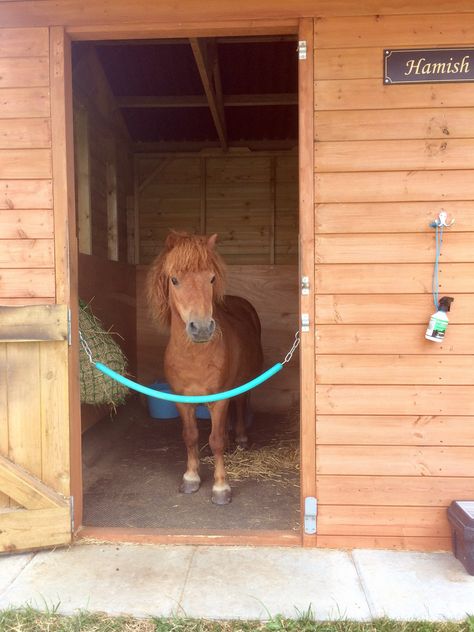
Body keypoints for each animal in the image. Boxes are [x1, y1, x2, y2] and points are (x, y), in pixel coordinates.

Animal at [146, 231, 262, 504]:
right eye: (174, 280)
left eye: (211, 278)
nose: (201, 328)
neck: (194, 355)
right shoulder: (182, 400)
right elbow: (190, 436)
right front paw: (191, 478)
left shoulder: (219, 399)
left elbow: (215, 440)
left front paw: (221, 488)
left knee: (241, 403)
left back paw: (240, 438)